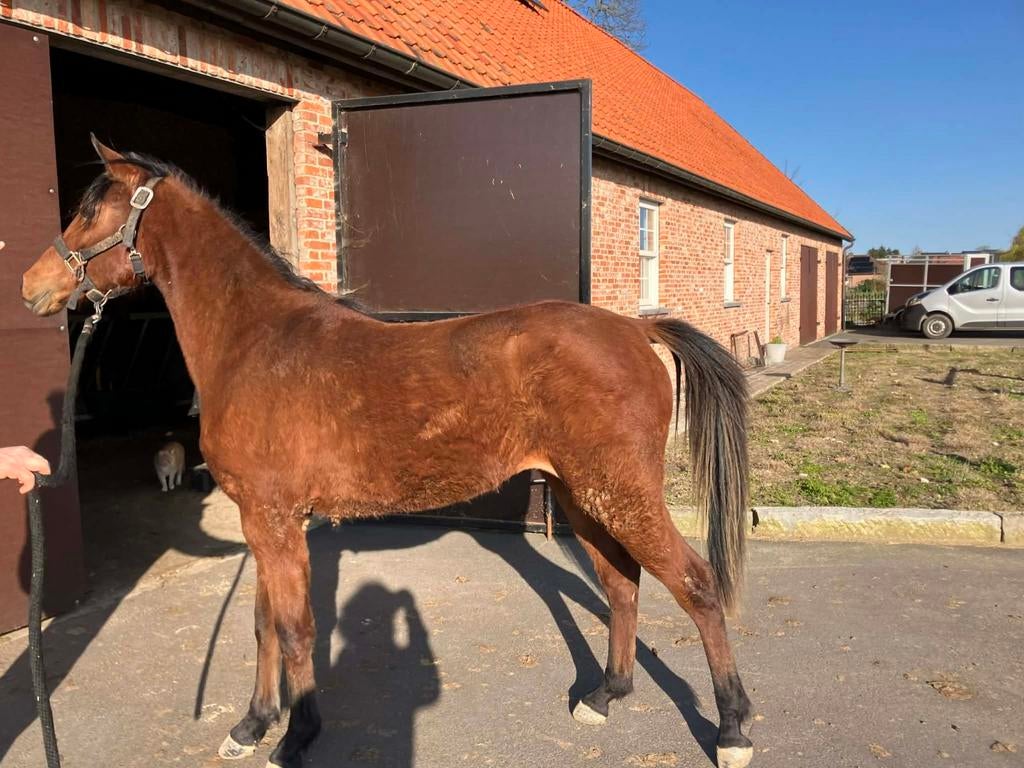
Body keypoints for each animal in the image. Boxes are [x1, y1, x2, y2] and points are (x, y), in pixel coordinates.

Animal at [21, 138, 754, 768]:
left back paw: (732, 729)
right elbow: (263, 625)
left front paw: (297, 735)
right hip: (582, 496)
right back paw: (606, 696)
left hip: (620, 492)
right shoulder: (263, 520)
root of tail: (634, 328)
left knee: (696, 584)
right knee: (622, 585)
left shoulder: (276, 521)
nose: (32, 287)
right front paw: (251, 725)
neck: (255, 340)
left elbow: (296, 628)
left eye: (91, 209)